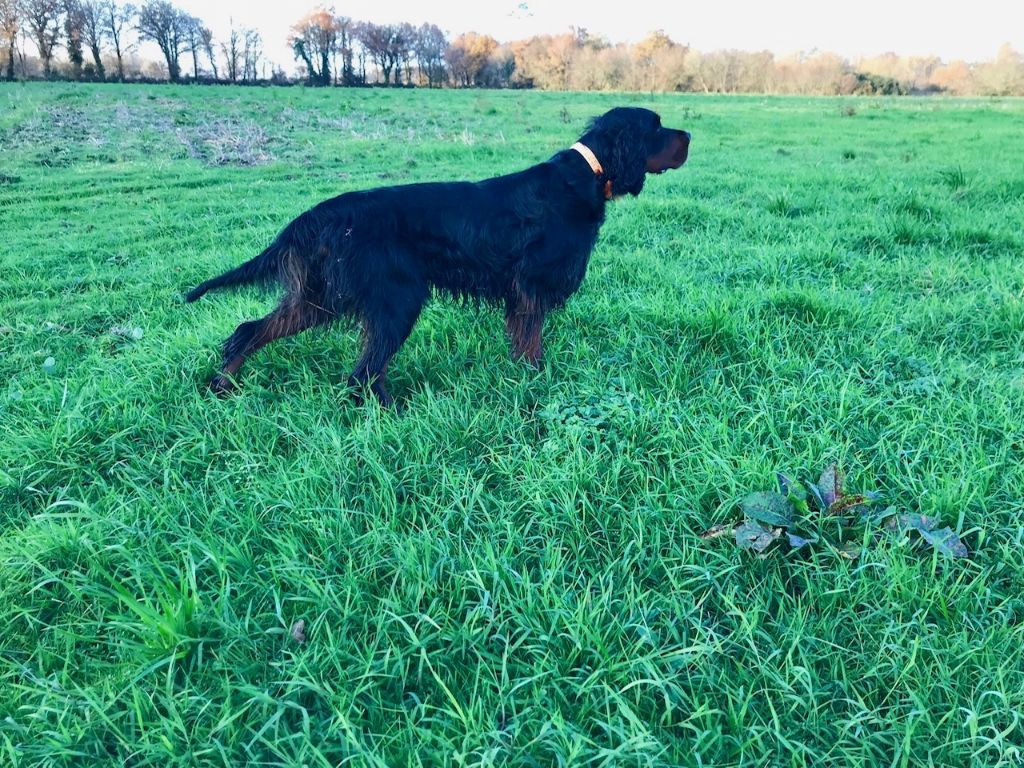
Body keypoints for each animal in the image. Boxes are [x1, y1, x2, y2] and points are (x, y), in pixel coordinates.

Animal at [188, 110, 692, 409]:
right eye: (656, 127)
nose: (689, 135)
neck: (585, 175)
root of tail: (321, 214)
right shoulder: (530, 285)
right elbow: (531, 342)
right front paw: (535, 381)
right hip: (396, 297)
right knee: (364, 373)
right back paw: (394, 411)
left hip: (322, 295)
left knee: (251, 329)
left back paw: (223, 385)